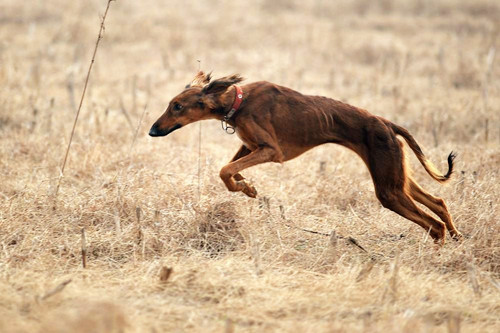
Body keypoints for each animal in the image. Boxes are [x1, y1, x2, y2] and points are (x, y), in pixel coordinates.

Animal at [150, 71, 462, 243]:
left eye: (177, 106)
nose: (153, 131)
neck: (238, 101)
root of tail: (386, 123)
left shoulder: (271, 151)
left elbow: (225, 170)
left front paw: (243, 186)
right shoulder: (251, 146)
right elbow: (229, 169)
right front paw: (247, 187)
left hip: (388, 189)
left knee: (434, 227)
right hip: (396, 179)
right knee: (439, 203)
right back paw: (457, 236)